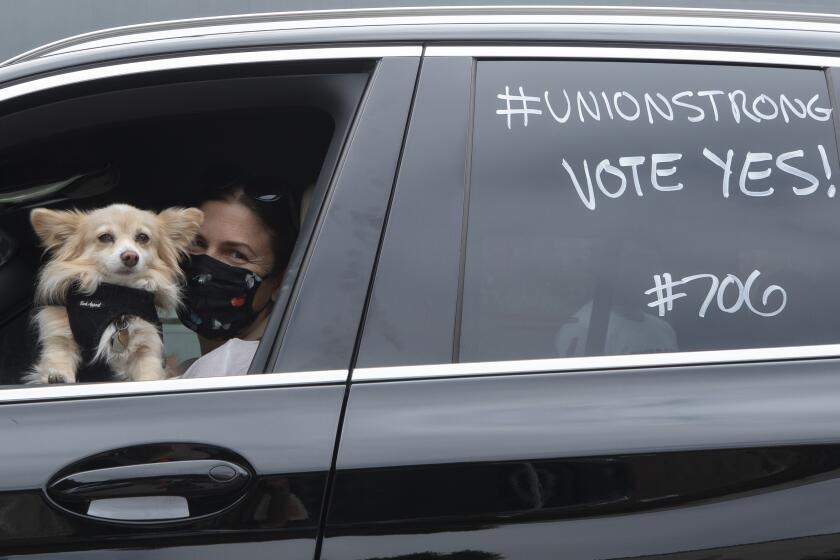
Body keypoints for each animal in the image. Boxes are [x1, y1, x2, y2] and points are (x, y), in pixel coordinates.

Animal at [27, 203, 203, 382]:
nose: (130, 256)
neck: (116, 296)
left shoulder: (147, 346)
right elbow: (59, 355)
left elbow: (148, 373)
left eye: (143, 237)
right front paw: (58, 376)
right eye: (105, 237)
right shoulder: (60, 335)